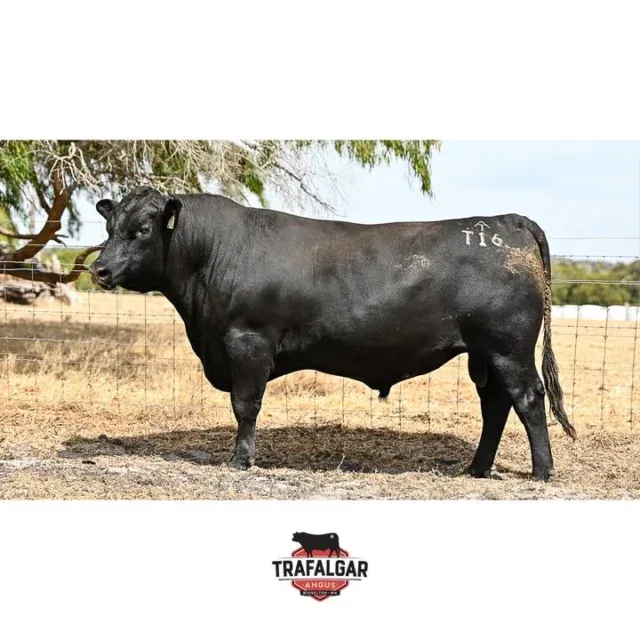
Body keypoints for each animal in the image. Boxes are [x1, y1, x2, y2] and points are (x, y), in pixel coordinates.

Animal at [89, 186, 577, 481]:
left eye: (142, 230)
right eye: (110, 228)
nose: (99, 269)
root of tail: (506, 219)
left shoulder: (248, 342)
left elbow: (245, 406)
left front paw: (241, 460)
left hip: (508, 346)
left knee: (527, 398)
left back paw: (541, 471)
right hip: (484, 353)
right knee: (495, 404)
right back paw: (475, 468)